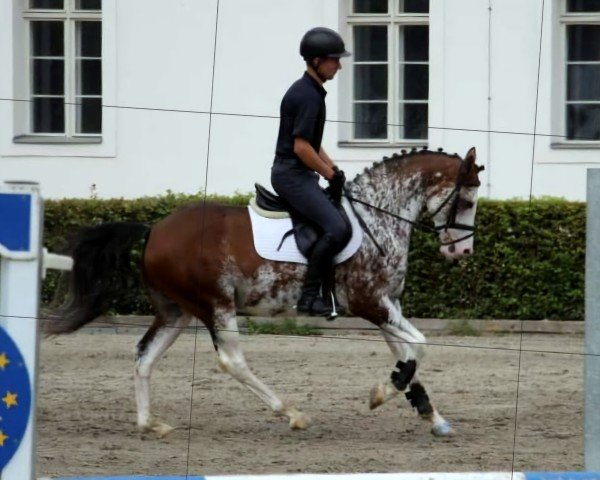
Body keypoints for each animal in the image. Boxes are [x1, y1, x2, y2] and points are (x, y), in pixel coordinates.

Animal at [48, 146, 488, 438]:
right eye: (467, 200)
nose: (462, 252)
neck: (377, 216)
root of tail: (154, 229)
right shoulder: (370, 304)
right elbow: (420, 346)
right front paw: (383, 393)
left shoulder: (386, 305)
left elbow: (407, 352)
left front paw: (431, 415)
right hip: (216, 305)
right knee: (231, 361)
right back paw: (291, 412)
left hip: (177, 311)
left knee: (144, 355)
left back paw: (149, 423)